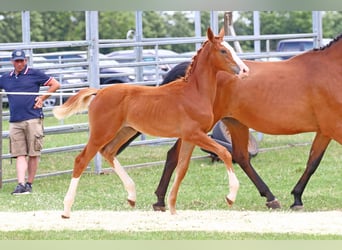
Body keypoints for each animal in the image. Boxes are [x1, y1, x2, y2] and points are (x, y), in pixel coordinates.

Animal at [52, 27, 246, 219]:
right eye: (223, 50)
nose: (244, 70)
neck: (194, 93)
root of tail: (98, 92)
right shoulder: (194, 134)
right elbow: (224, 152)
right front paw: (230, 196)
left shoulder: (189, 138)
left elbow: (182, 169)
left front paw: (172, 208)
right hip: (102, 132)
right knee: (81, 160)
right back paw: (66, 210)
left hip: (126, 131)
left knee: (108, 152)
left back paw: (131, 196)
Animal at [149, 32, 342, 211]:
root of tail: (189, 76)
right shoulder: (334, 128)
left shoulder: (325, 130)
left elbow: (312, 162)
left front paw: (297, 198)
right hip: (199, 127)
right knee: (173, 154)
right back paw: (160, 201)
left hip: (235, 122)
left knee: (241, 156)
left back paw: (270, 198)